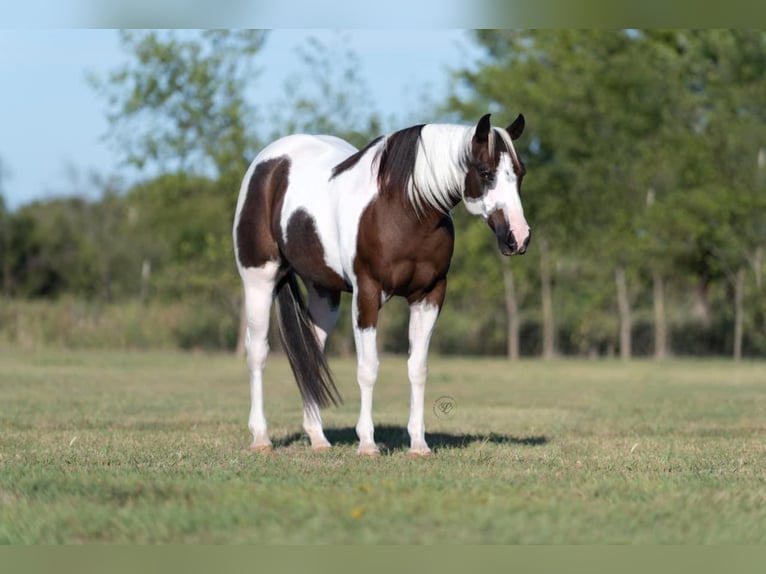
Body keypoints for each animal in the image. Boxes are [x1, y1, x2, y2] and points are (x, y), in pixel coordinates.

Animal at [234, 113, 532, 460]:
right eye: (485, 172)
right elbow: (368, 368)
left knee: (311, 353)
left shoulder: (429, 296)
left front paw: (418, 444)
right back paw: (261, 437)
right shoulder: (367, 294)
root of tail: (268, 164)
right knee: (257, 351)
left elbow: (418, 368)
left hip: (324, 293)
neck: (404, 209)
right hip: (259, 279)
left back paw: (318, 438)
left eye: (520, 173)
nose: (518, 237)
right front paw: (367, 444)